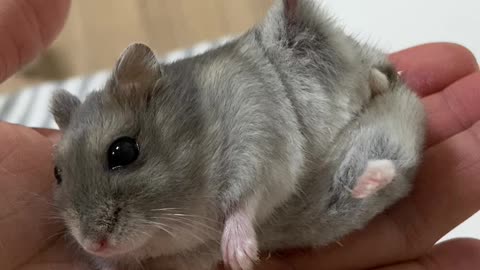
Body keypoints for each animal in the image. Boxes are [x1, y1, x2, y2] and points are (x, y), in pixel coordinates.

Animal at [49, 1, 424, 268]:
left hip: (318, 47)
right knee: (382, 169)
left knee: (368, 73)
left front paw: (239, 257)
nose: (93, 244)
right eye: (57, 174)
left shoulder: (257, 142)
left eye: (123, 151)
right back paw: (367, 179)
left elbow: (245, 201)